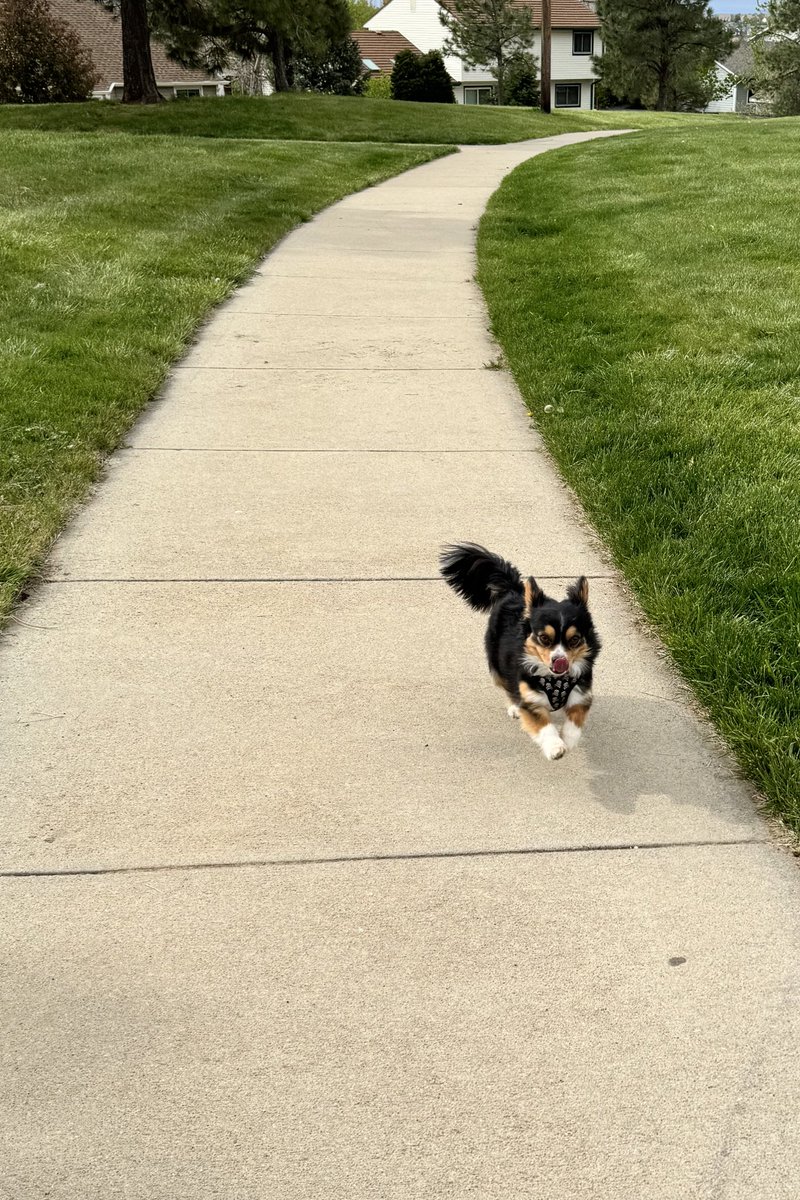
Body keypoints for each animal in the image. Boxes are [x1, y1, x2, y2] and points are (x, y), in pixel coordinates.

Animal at [438, 544, 599, 758]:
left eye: (574, 640)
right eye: (544, 638)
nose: (560, 661)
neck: (555, 679)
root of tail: (514, 590)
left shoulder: (581, 694)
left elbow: (575, 720)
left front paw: (569, 740)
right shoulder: (530, 700)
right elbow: (543, 725)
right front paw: (555, 747)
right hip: (497, 664)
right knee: (508, 685)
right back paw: (514, 707)